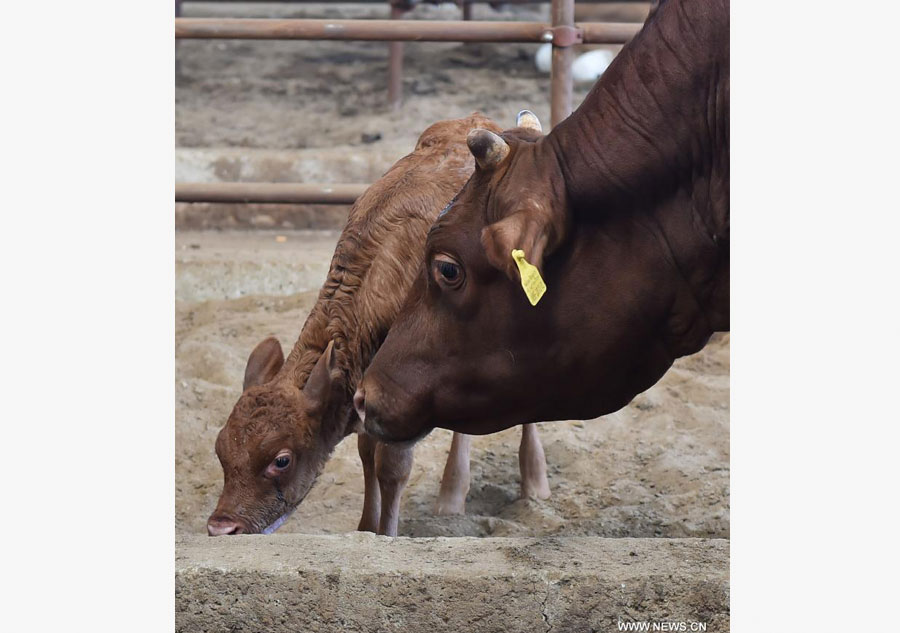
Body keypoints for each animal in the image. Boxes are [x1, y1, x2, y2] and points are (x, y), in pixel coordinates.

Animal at [208, 112, 552, 532]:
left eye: (281, 459)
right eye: (220, 447)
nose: (221, 526)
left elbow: (391, 466)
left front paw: (386, 533)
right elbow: (366, 452)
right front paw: (365, 528)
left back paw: (534, 484)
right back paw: (452, 496)